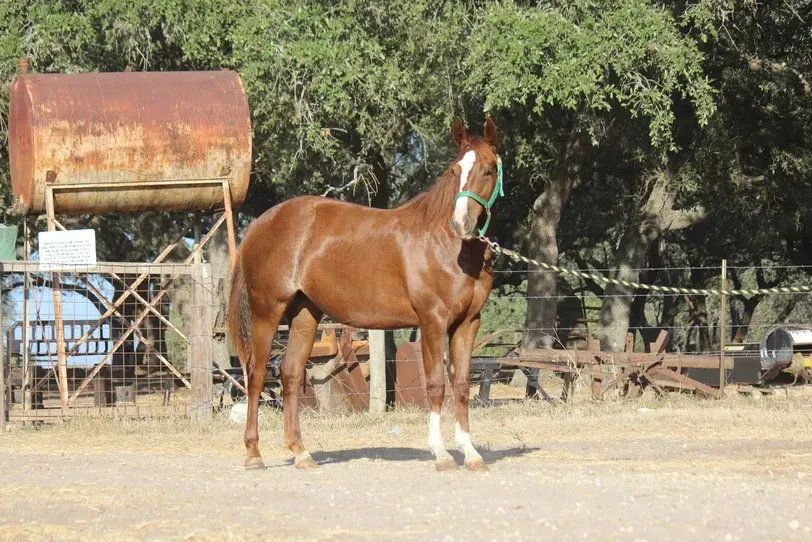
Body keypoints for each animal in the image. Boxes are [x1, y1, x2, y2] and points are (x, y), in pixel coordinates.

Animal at [227, 116, 503, 472]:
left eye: (488, 170)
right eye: (455, 171)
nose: (461, 223)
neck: (447, 246)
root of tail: (260, 224)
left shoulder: (468, 323)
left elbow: (462, 386)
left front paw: (470, 453)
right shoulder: (432, 321)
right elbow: (436, 384)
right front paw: (441, 455)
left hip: (305, 314)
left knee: (289, 374)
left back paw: (301, 453)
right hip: (267, 312)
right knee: (257, 374)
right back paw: (254, 454)